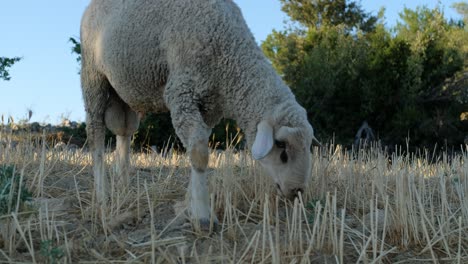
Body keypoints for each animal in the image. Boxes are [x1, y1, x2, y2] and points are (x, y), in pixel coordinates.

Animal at [80, 0, 316, 227]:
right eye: (281, 147)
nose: (297, 192)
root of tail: (90, 6)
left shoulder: (209, 109)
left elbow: (197, 147)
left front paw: (188, 206)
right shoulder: (181, 94)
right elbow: (200, 154)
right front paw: (203, 216)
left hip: (125, 91)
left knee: (124, 131)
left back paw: (123, 186)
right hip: (93, 77)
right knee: (95, 134)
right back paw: (102, 195)